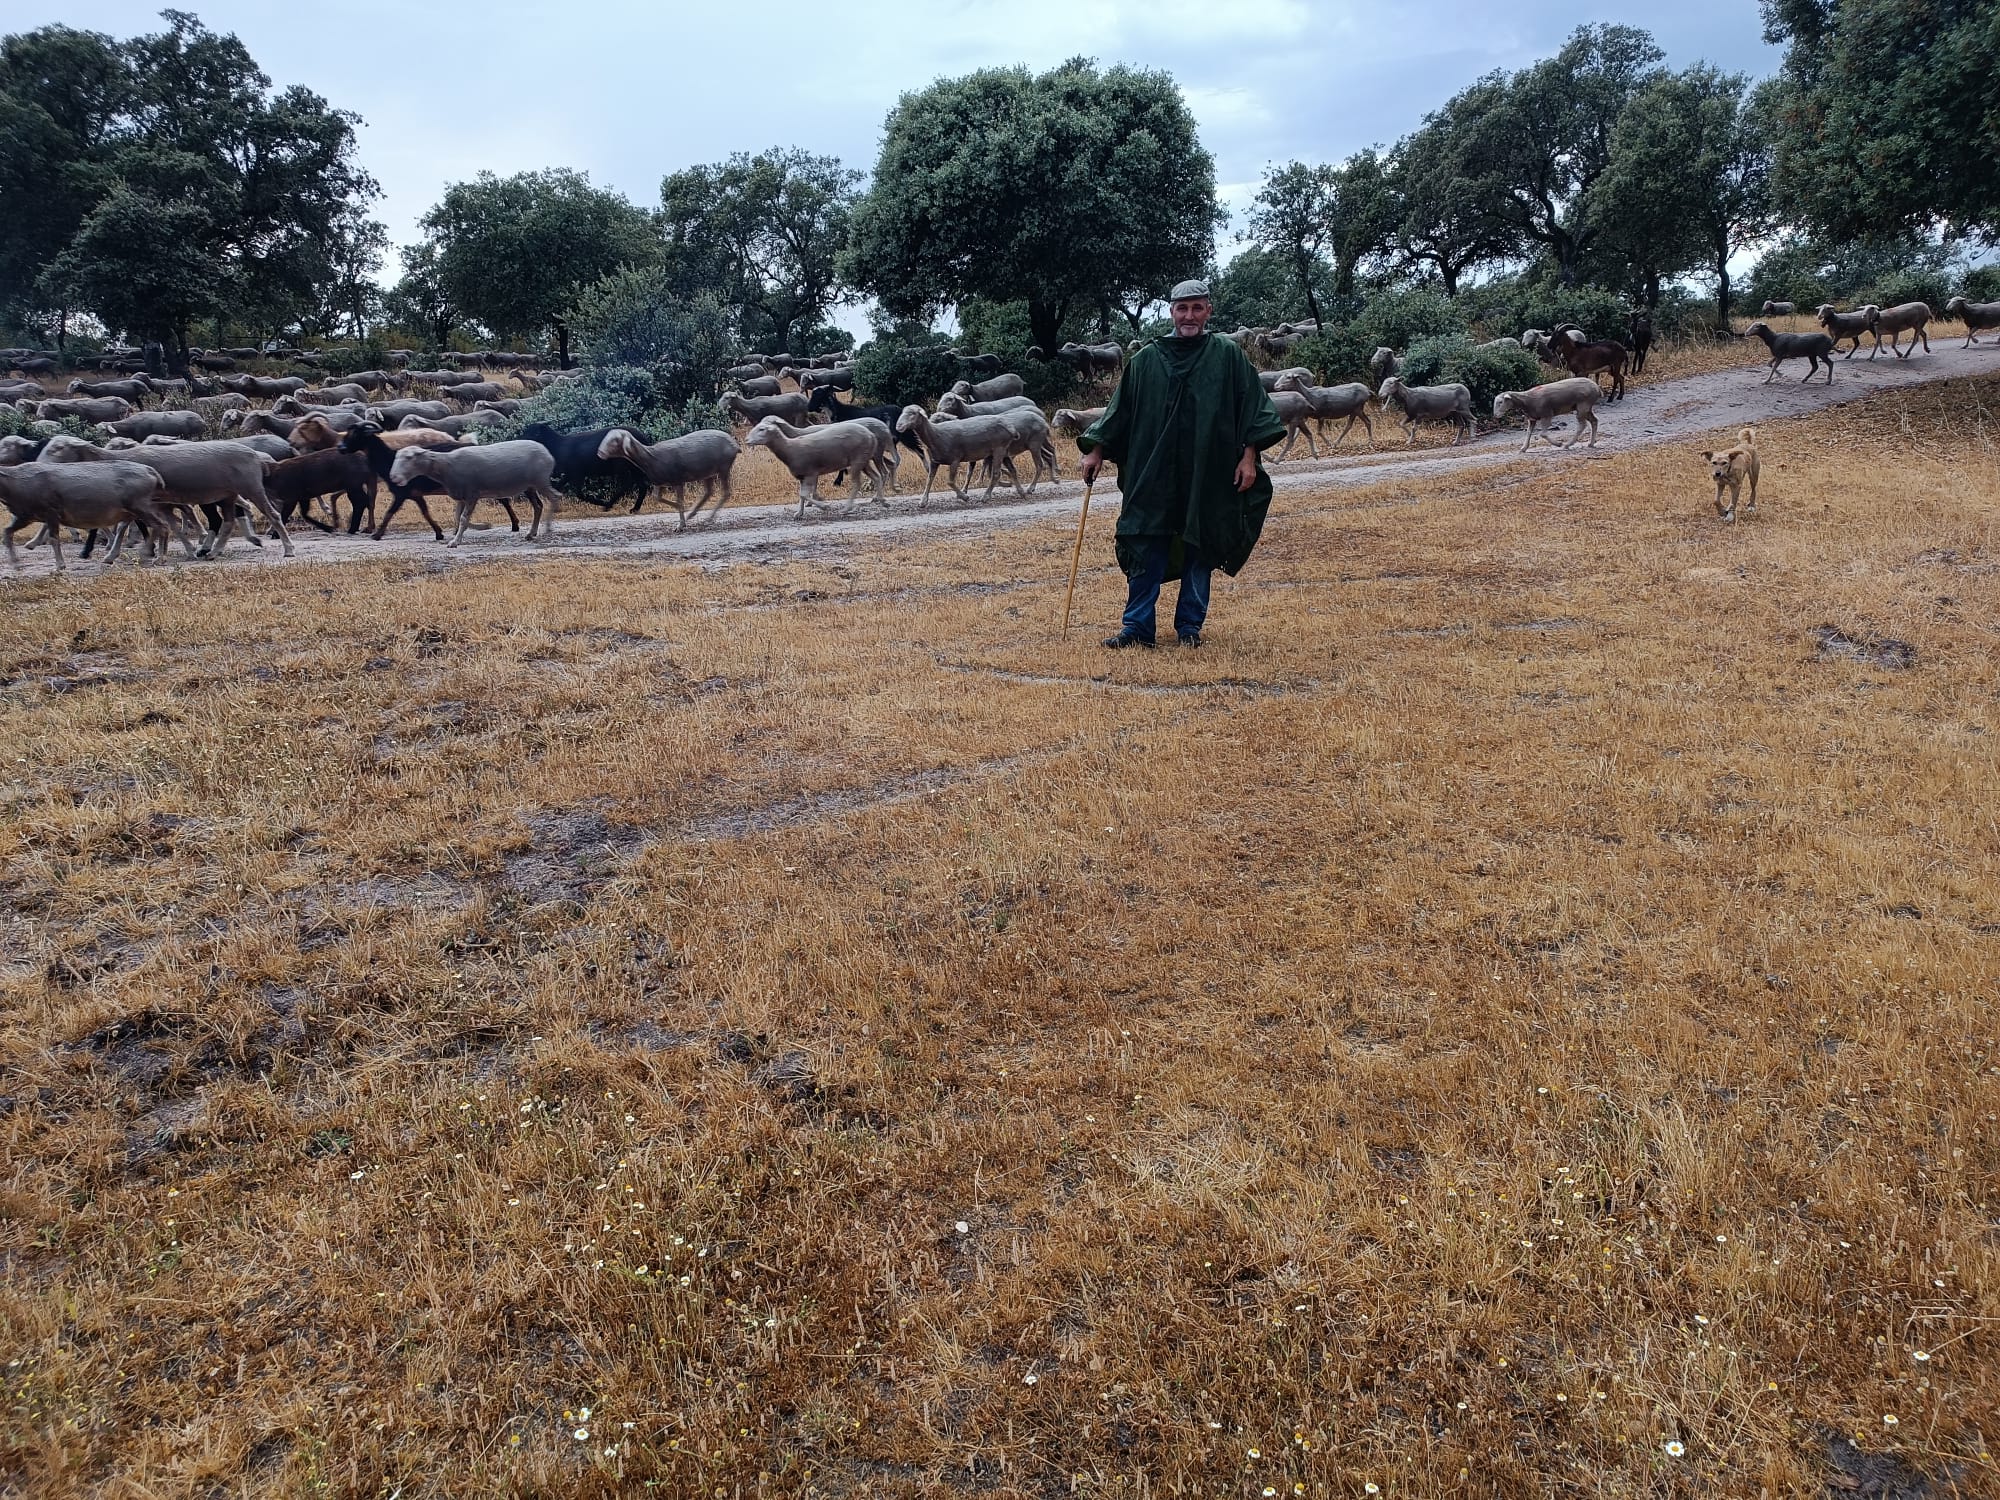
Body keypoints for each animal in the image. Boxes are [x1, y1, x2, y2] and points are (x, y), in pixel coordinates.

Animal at [0, 458, 172, 568]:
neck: (16, 486)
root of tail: (153, 473)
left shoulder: (51, 511)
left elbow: (54, 539)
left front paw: (60, 566)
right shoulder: (26, 515)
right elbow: (7, 532)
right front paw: (16, 564)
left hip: (139, 504)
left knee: (162, 526)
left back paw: (157, 557)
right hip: (133, 508)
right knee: (131, 525)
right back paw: (113, 556)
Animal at [386, 440, 560, 548]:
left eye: (409, 457)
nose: (394, 477)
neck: (446, 466)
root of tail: (547, 453)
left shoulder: (472, 494)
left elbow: (463, 518)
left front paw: (456, 541)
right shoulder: (461, 496)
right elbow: (457, 517)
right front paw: (477, 528)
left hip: (540, 480)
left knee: (555, 497)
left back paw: (548, 528)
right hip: (530, 486)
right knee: (538, 506)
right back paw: (531, 533)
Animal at [600, 428, 752, 528]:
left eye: (615, 440)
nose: (599, 453)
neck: (651, 458)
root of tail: (735, 445)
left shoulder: (677, 480)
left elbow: (679, 501)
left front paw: (680, 525)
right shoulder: (659, 482)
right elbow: (657, 497)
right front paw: (682, 514)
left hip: (723, 466)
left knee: (726, 492)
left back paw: (708, 519)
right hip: (707, 472)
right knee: (709, 492)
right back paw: (692, 514)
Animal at [744, 418, 884, 524]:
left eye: (762, 429)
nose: (746, 440)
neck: (790, 448)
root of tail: (871, 436)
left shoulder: (810, 474)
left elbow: (804, 495)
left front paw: (824, 506)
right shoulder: (802, 476)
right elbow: (801, 495)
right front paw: (799, 513)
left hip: (858, 460)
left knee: (857, 483)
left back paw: (847, 508)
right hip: (864, 460)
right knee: (877, 477)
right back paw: (882, 500)